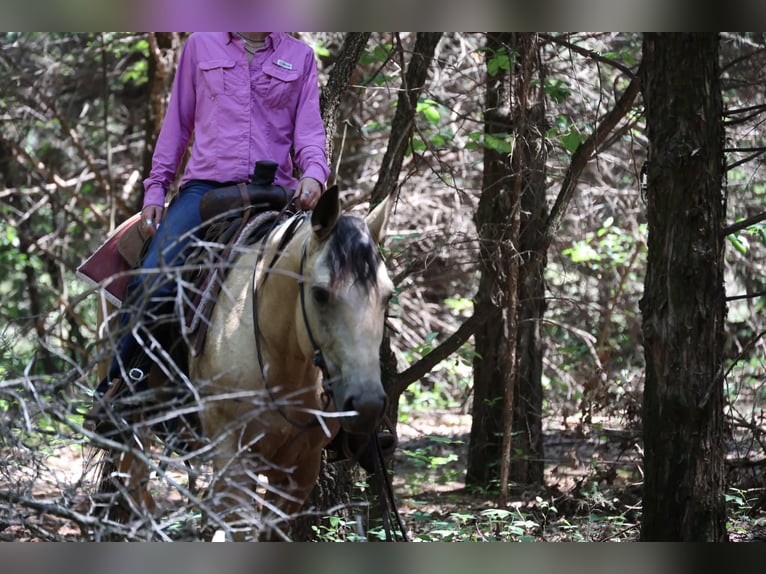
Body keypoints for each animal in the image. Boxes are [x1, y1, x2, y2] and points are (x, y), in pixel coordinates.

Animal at [91, 187, 394, 541]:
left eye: (387, 296)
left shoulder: (300, 470)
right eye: (320, 294)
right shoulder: (233, 459)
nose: (367, 404)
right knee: (137, 493)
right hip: (130, 423)